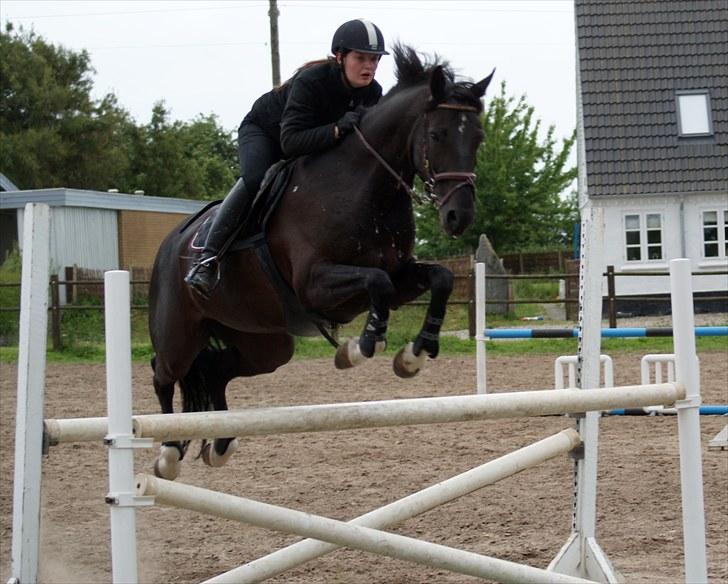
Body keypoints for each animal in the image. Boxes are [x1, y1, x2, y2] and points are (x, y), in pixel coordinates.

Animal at [148, 42, 494, 480]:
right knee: (163, 372)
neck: (365, 187)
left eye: (478, 138)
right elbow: (377, 282)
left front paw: (413, 355)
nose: (458, 217)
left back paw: (221, 443)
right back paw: (168, 453)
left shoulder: (398, 276)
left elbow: (440, 279)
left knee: (215, 369)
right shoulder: (315, 285)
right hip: (179, 333)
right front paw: (360, 347)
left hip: (266, 342)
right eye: (436, 134)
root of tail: (167, 245)